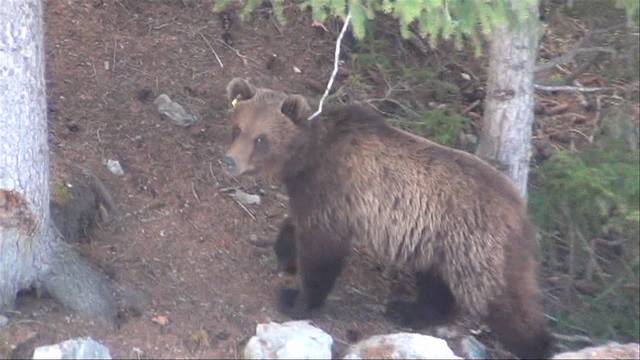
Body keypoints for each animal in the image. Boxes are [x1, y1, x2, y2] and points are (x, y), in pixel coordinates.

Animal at [222, 77, 552, 358]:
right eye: (238, 129)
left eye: (261, 138)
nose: (230, 160)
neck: (306, 158)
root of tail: (522, 211)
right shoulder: (314, 196)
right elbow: (296, 225)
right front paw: (285, 256)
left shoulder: (335, 191)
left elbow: (322, 252)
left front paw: (296, 299)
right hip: (438, 244)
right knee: (436, 286)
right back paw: (407, 310)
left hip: (477, 246)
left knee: (504, 301)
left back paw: (536, 344)